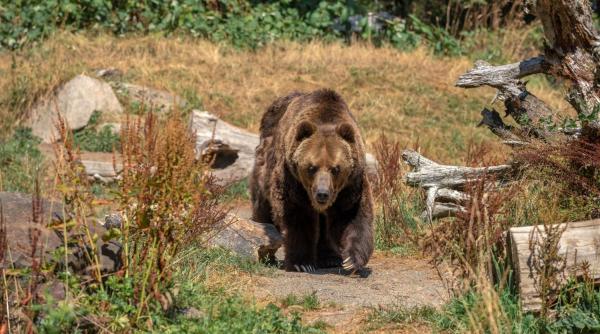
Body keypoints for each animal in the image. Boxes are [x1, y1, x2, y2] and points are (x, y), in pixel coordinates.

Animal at [247, 90, 370, 272]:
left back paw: (329, 258)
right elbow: (298, 216)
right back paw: (266, 250)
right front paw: (302, 263)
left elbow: (351, 214)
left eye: (336, 168)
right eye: (311, 167)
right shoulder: (292, 179)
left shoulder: (350, 184)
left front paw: (351, 259)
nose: (322, 194)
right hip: (265, 166)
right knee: (263, 207)